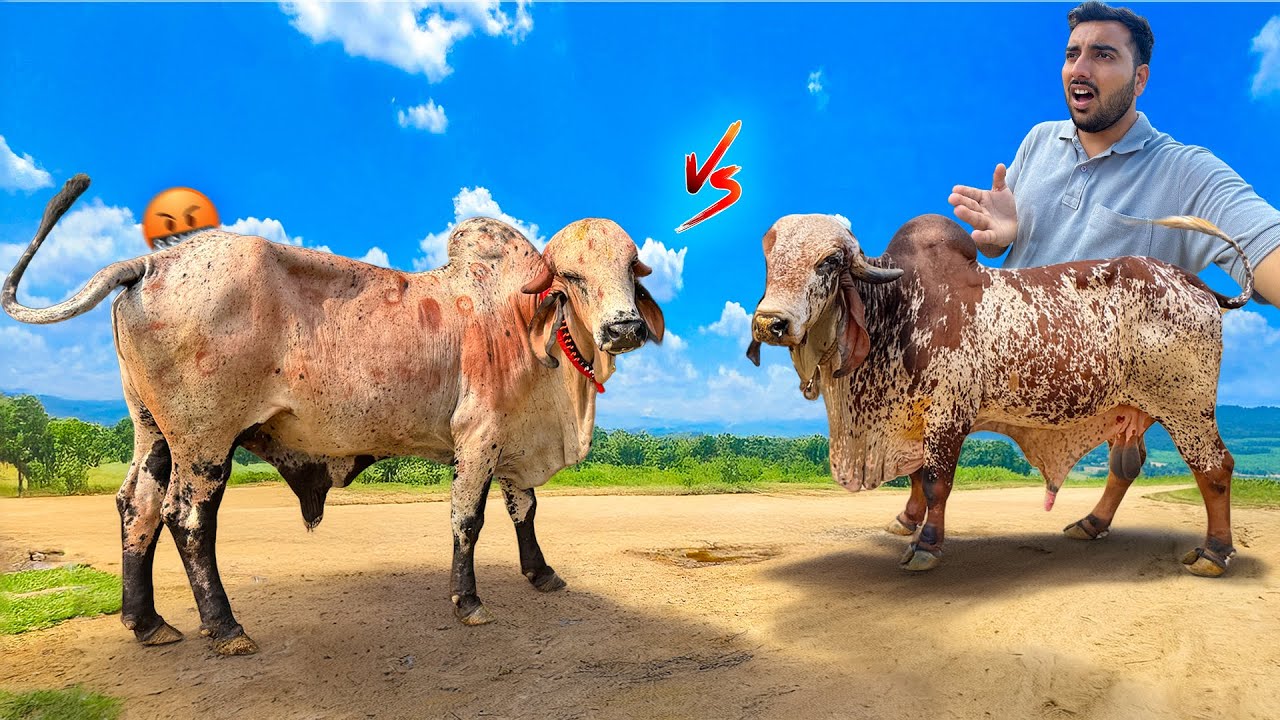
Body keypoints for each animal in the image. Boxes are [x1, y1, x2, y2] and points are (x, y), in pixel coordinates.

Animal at [3, 175, 664, 655]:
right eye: (571, 277)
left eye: (630, 269)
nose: (625, 327)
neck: (523, 324)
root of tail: (151, 263)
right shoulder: (477, 438)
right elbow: (468, 521)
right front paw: (468, 602)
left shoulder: (513, 444)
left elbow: (524, 509)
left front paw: (541, 574)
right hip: (205, 438)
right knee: (186, 519)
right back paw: (224, 628)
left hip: (153, 431)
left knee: (136, 506)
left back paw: (146, 623)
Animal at [747, 212, 1251, 578]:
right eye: (769, 258)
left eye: (829, 261)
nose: (770, 323)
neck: (897, 305)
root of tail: (1193, 282)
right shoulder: (915, 419)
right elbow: (915, 479)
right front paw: (906, 521)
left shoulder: (948, 415)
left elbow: (936, 482)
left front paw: (926, 545)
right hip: (1131, 409)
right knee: (1126, 467)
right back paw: (1091, 524)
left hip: (1187, 406)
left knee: (1215, 469)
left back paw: (1214, 553)